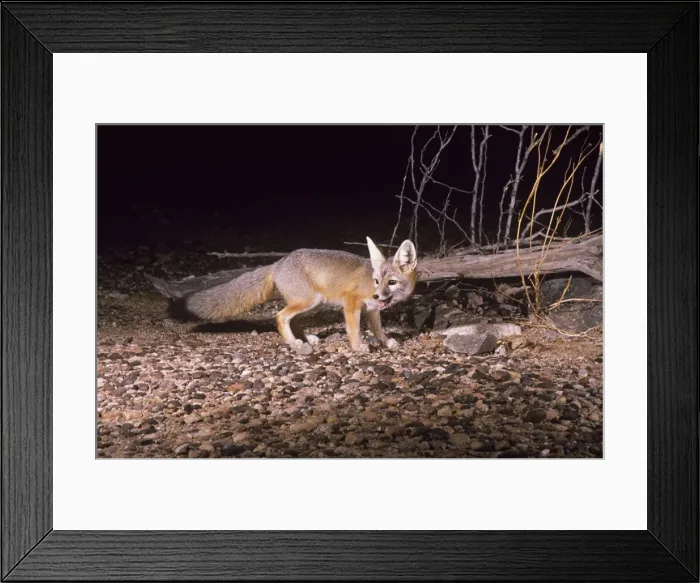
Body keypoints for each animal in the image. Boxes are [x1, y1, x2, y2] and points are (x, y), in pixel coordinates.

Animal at [184, 237, 418, 352]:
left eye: (391, 282)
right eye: (377, 281)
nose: (378, 295)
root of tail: (279, 262)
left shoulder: (372, 310)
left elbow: (378, 330)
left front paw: (385, 342)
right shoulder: (351, 302)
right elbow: (354, 330)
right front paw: (358, 347)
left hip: (313, 303)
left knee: (293, 320)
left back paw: (305, 339)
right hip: (308, 301)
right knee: (280, 317)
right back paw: (294, 342)